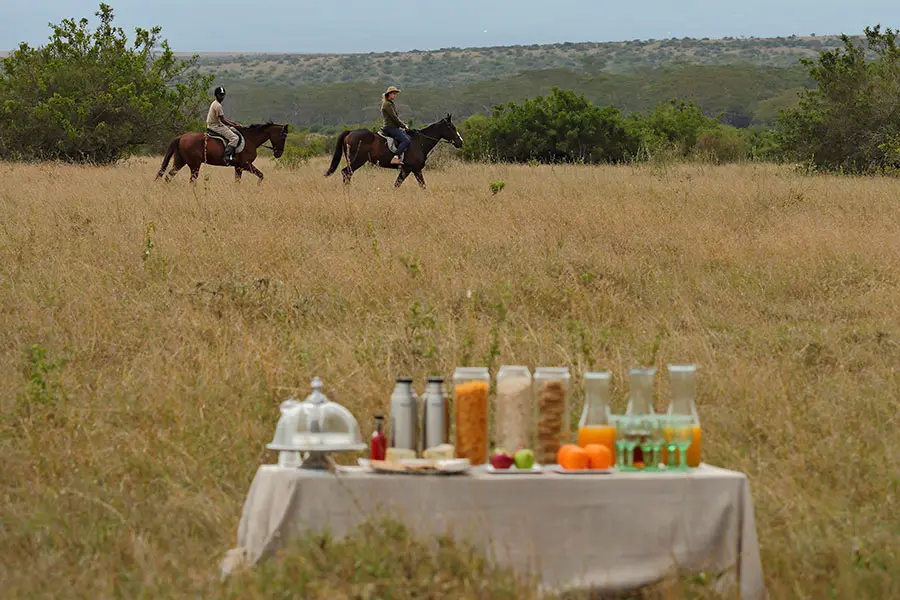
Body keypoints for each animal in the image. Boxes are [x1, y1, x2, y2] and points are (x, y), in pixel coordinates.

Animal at [155, 123, 288, 184]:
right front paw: (258, 186)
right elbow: (261, 175)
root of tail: (181, 137)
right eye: (283, 137)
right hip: (195, 165)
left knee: (168, 177)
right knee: (192, 180)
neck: (251, 139)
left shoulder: (238, 167)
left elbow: (237, 182)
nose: (279, 154)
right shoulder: (245, 165)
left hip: (180, 162)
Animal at [324, 112, 464, 188]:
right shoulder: (408, 169)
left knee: (347, 174)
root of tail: (350, 132)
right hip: (357, 160)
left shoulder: (416, 170)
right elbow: (397, 185)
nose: (460, 142)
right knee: (346, 173)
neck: (420, 142)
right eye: (452, 127)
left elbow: (423, 186)